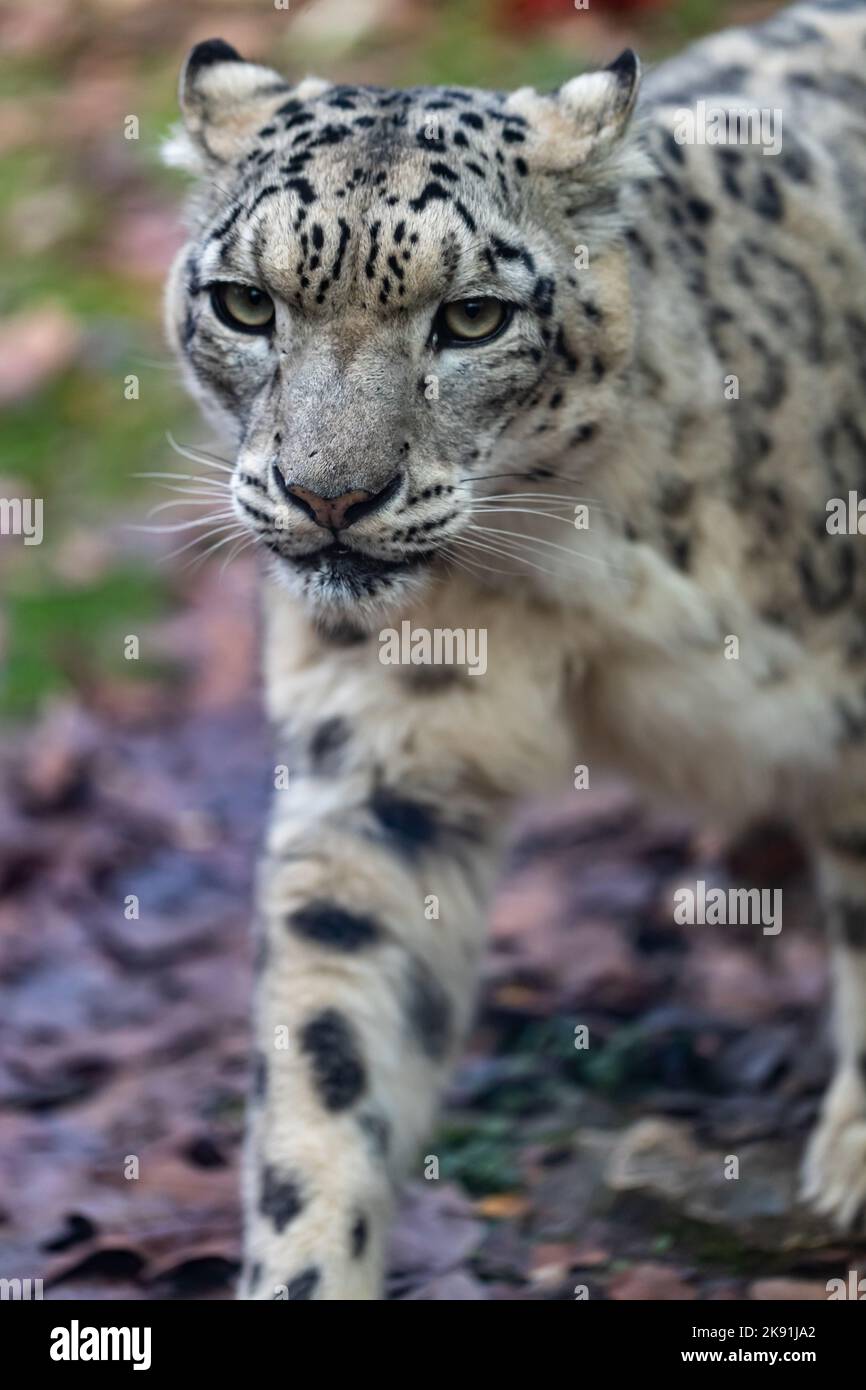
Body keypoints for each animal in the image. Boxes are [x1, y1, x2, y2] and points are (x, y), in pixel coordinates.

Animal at [164, 2, 866, 1301]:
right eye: (243, 304)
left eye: (473, 317)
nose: (329, 497)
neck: (561, 566)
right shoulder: (381, 762)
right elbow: (329, 1056)